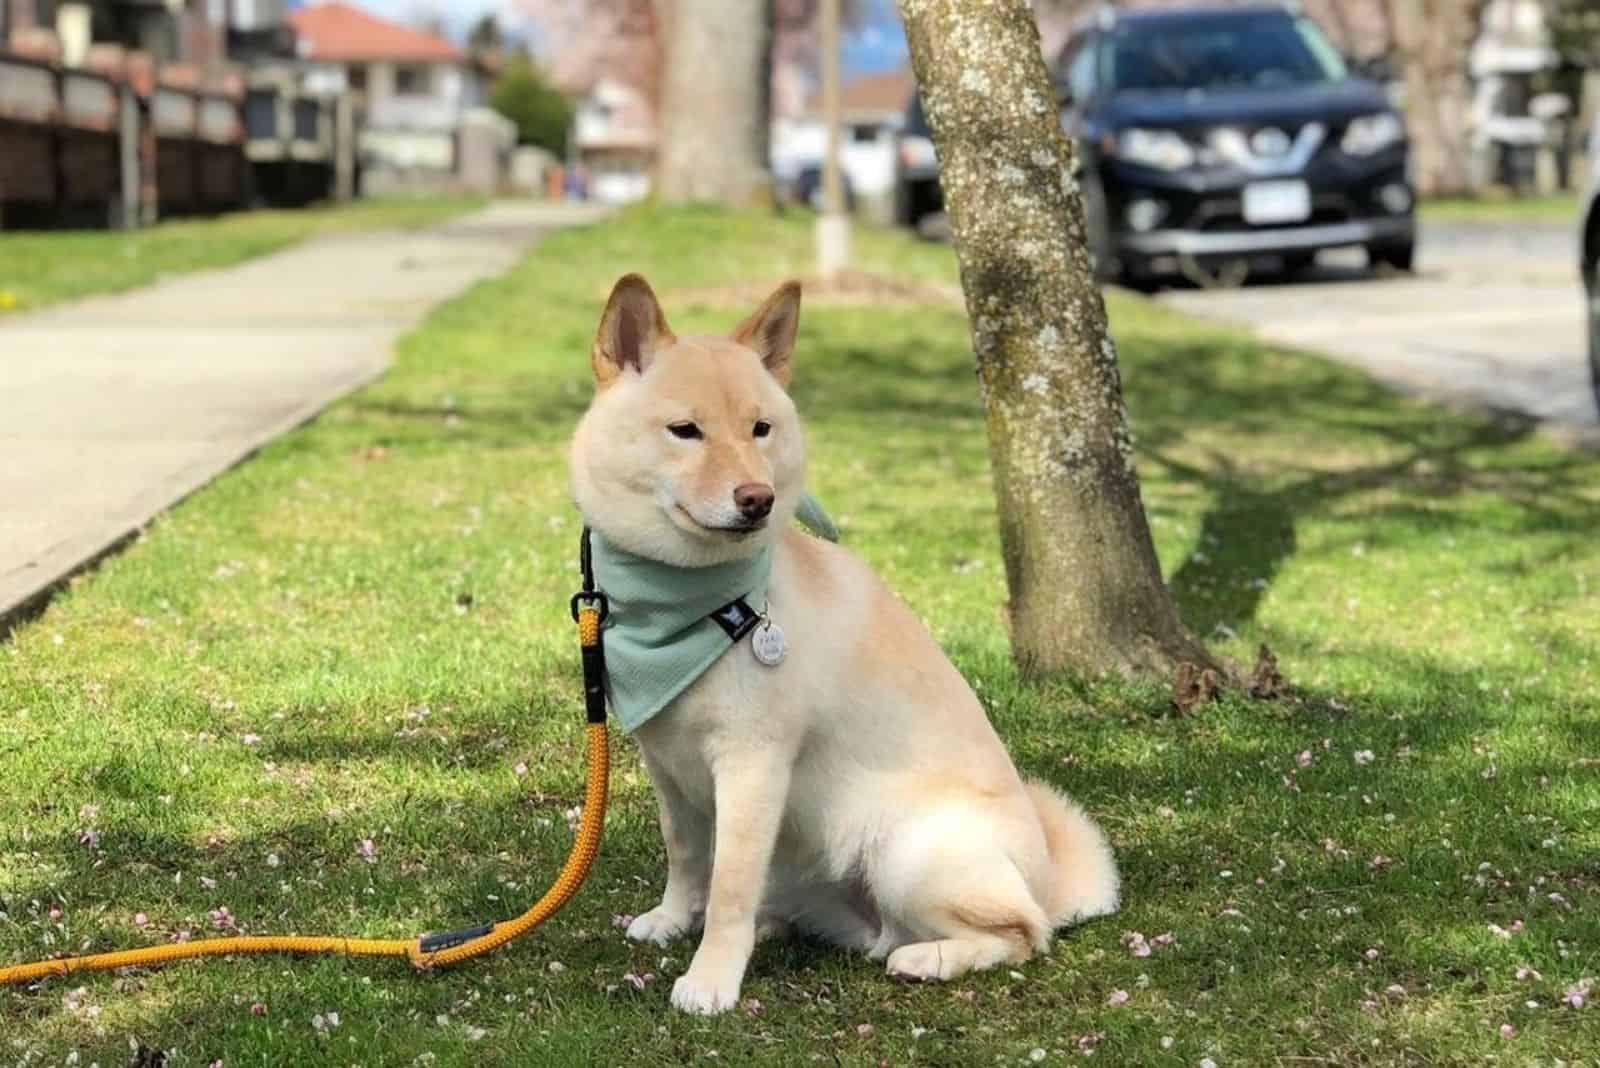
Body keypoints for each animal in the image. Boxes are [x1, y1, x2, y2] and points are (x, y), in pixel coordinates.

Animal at [569, 271, 1120, 1016]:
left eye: (760, 429)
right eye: (685, 431)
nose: (758, 498)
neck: (688, 607)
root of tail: (1050, 879)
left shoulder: (752, 765)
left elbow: (728, 887)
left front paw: (711, 977)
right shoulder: (668, 765)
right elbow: (686, 856)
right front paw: (672, 918)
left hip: (910, 853)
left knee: (1022, 932)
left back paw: (928, 958)